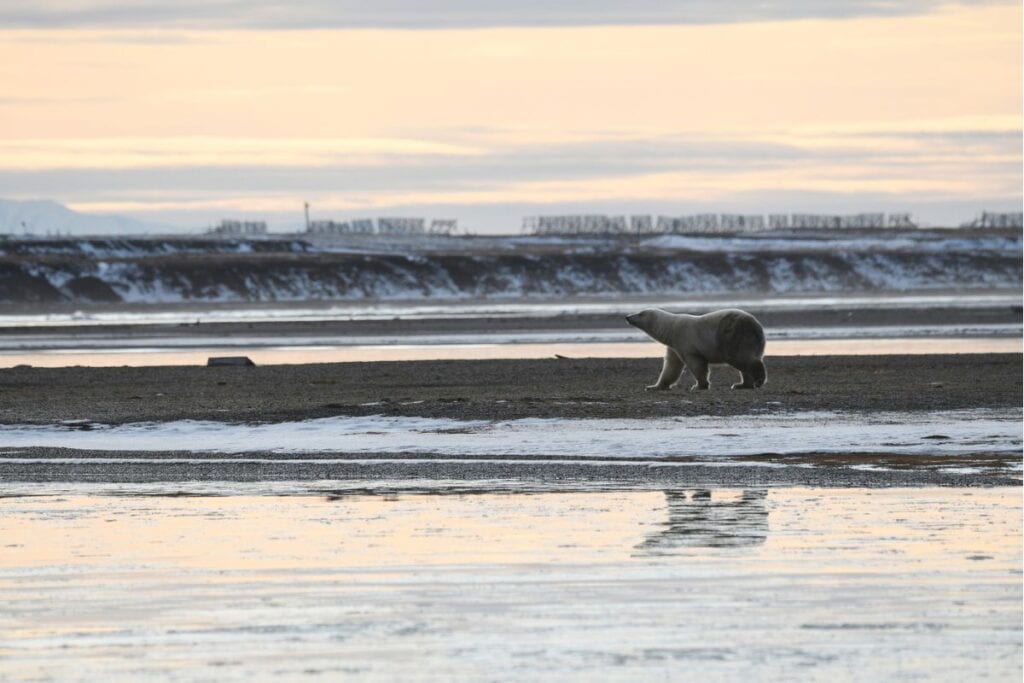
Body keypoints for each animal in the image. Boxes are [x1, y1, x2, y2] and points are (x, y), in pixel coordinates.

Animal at [625, 308, 767, 391]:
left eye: (640, 313)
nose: (627, 316)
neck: (671, 328)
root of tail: (757, 327)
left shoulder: (685, 342)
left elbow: (697, 365)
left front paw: (699, 385)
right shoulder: (674, 346)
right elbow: (671, 366)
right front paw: (654, 386)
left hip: (733, 336)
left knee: (739, 357)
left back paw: (758, 380)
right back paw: (741, 385)